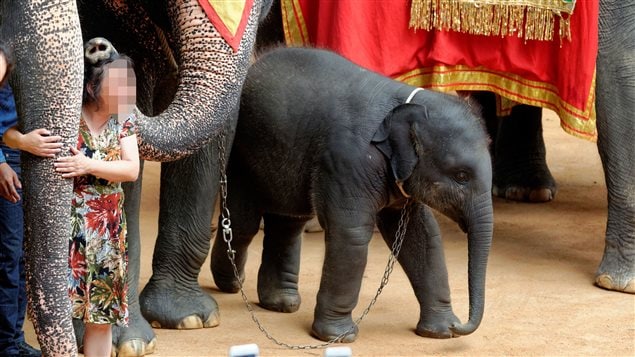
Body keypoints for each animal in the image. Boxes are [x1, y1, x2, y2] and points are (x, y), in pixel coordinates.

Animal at [211, 47, 494, 342]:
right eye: (461, 175)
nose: (460, 326)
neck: (406, 102)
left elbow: (421, 234)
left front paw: (440, 332)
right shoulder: (347, 160)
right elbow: (351, 233)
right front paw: (338, 337)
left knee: (288, 221)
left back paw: (281, 303)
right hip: (241, 154)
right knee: (243, 222)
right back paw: (232, 284)